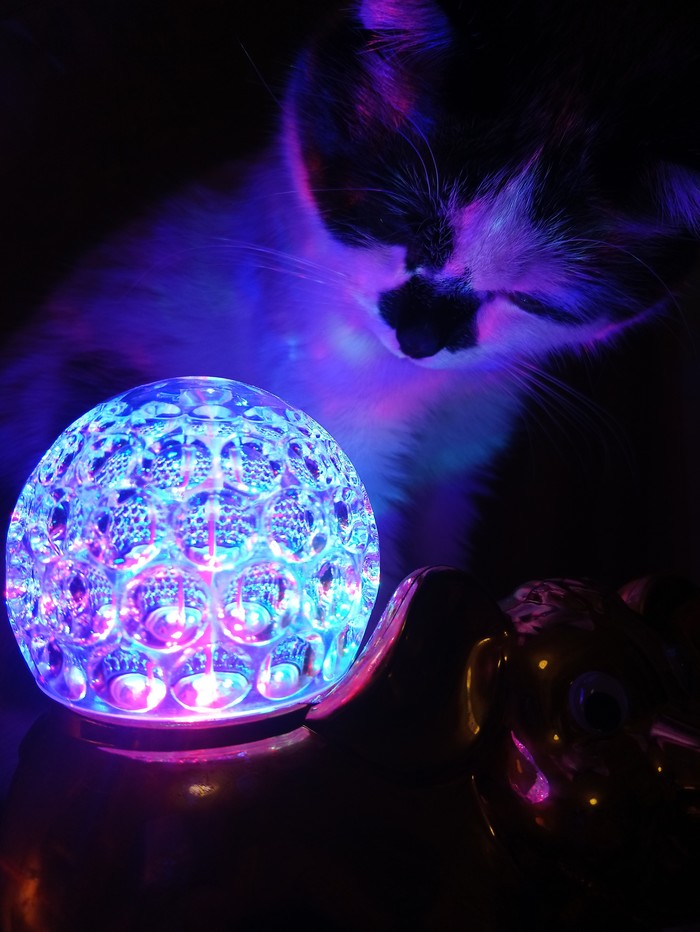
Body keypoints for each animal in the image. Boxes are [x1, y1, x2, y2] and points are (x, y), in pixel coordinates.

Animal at [1, 0, 700, 613]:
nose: (418, 339)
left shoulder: (459, 467)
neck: (416, 391)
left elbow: (438, 561)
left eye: (528, 299)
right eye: (402, 224)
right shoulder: (343, 436)